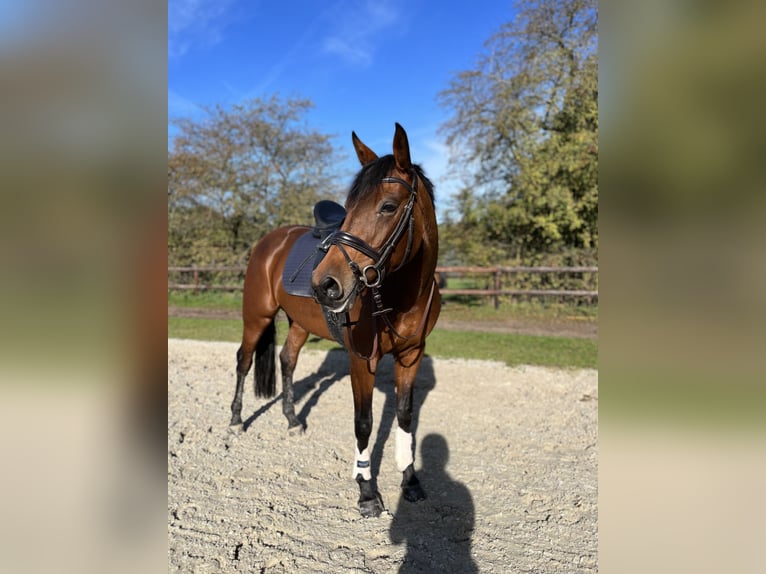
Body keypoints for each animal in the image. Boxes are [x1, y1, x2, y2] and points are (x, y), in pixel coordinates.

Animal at [231, 124, 440, 520]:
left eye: (388, 206)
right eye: (349, 207)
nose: (325, 284)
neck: (401, 295)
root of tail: (271, 240)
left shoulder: (412, 355)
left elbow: (405, 416)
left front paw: (410, 481)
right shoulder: (362, 360)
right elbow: (364, 422)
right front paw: (367, 491)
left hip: (299, 323)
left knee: (287, 360)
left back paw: (292, 421)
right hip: (256, 317)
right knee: (244, 360)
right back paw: (235, 421)